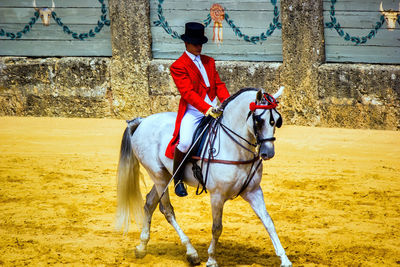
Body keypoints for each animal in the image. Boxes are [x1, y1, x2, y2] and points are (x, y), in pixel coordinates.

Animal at [114, 87, 292, 266]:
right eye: (258, 120)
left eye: (277, 120)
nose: (268, 153)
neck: (235, 147)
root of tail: (142, 121)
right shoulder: (217, 196)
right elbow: (217, 227)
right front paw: (212, 259)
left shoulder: (253, 191)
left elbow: (268, 222)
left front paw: (284, 259)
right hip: (158, 176)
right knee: (167, 211)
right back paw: (191, 252)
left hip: (165, 176)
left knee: (150, 203)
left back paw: (142, 246)